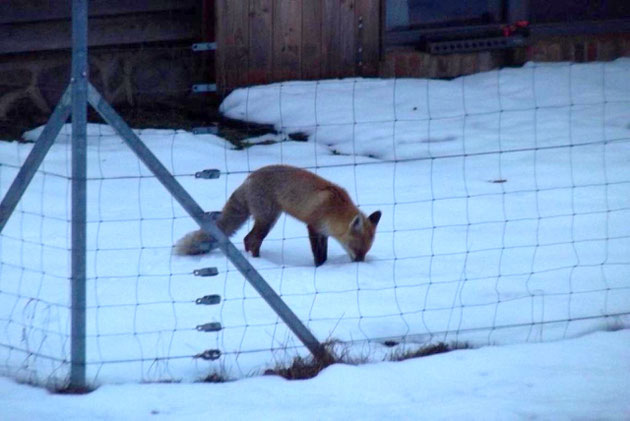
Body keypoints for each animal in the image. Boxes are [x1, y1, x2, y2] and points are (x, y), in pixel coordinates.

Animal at [178, 165, 382, 266]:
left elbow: (323, 254)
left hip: (269, 219)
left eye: (367, 251)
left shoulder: (324, 232)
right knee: (250, 239)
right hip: (267, 219)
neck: (334, 208)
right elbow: (318, 255)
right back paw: (257, 262)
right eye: (356, 248)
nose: (360, 264)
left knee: (249, 239)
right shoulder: (313, 227)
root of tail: (248, 178)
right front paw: (319, 268)